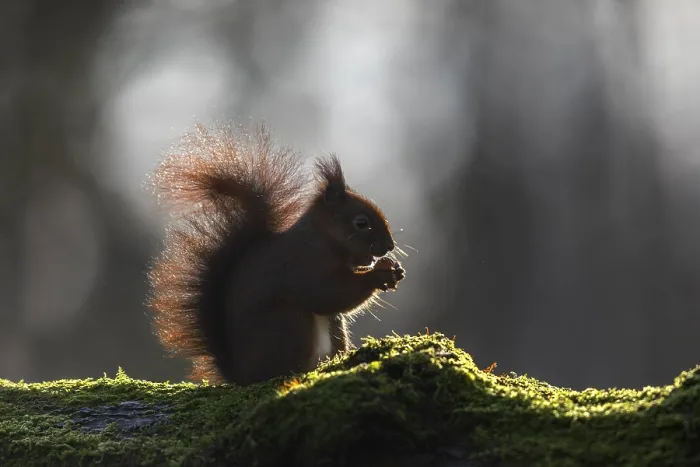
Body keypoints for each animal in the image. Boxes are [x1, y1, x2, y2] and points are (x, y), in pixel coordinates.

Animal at [146, 121, 405, 386]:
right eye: (361, 223)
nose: (390, 246)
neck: (323, 237)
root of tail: (242, 376)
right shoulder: (303, 262)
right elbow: (327, 292)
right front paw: (379, 274)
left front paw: (392, 268)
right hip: (289, 323)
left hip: (332, 326)